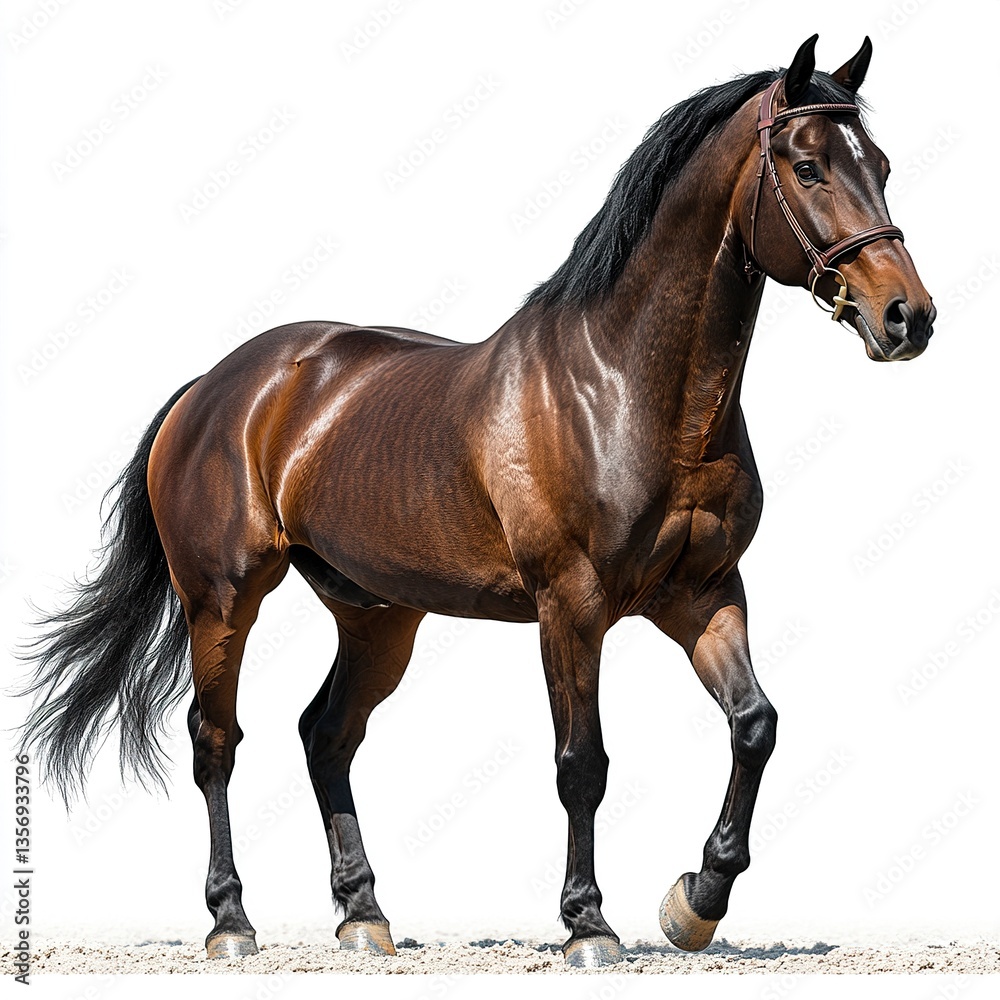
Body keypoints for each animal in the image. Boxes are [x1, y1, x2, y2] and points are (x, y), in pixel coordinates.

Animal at [19, 34, 934, 968]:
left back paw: (364, 915)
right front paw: (587, 924)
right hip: (223, 598)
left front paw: (695, 902)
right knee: (215, 743)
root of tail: (213, 387)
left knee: (325, 735)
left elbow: (755, 724)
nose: (908, 317)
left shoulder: (703, 594)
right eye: (808, 166)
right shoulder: (571, 604)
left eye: (882, 166)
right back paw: (232, 922)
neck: (625, 388)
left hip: (377, 615)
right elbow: (582, 763)